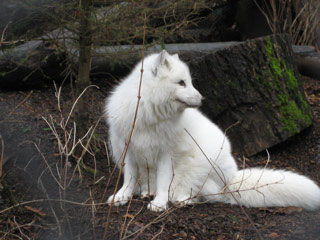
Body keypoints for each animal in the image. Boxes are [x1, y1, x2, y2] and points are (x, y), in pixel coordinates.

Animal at [104, 49, 320, 211]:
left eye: (190, 81)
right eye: (181, 83)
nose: (202, 98)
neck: (150, 114)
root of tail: (231, 179)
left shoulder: (166, 154)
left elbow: (164, 182)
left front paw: (159, 203)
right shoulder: (128, 149)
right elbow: (129, 178)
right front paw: (122, 196)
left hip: (197, 168)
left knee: (206, 194)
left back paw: (182, 199)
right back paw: (147, 191)